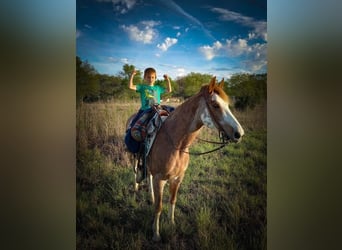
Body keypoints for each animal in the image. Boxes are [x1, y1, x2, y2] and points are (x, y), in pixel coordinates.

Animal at [125, 76, 243, 240]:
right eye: (215, 105)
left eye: (227, 104)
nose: (239, 134)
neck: (176, 142)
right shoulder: (160, 179)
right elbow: (158, 207)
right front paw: (156, 233)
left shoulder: (178, 178)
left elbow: (172, 200)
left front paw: (172, 222)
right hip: (133, 155)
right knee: (136, 169)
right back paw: (136, 187)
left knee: (148, 175)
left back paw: (151, 195)